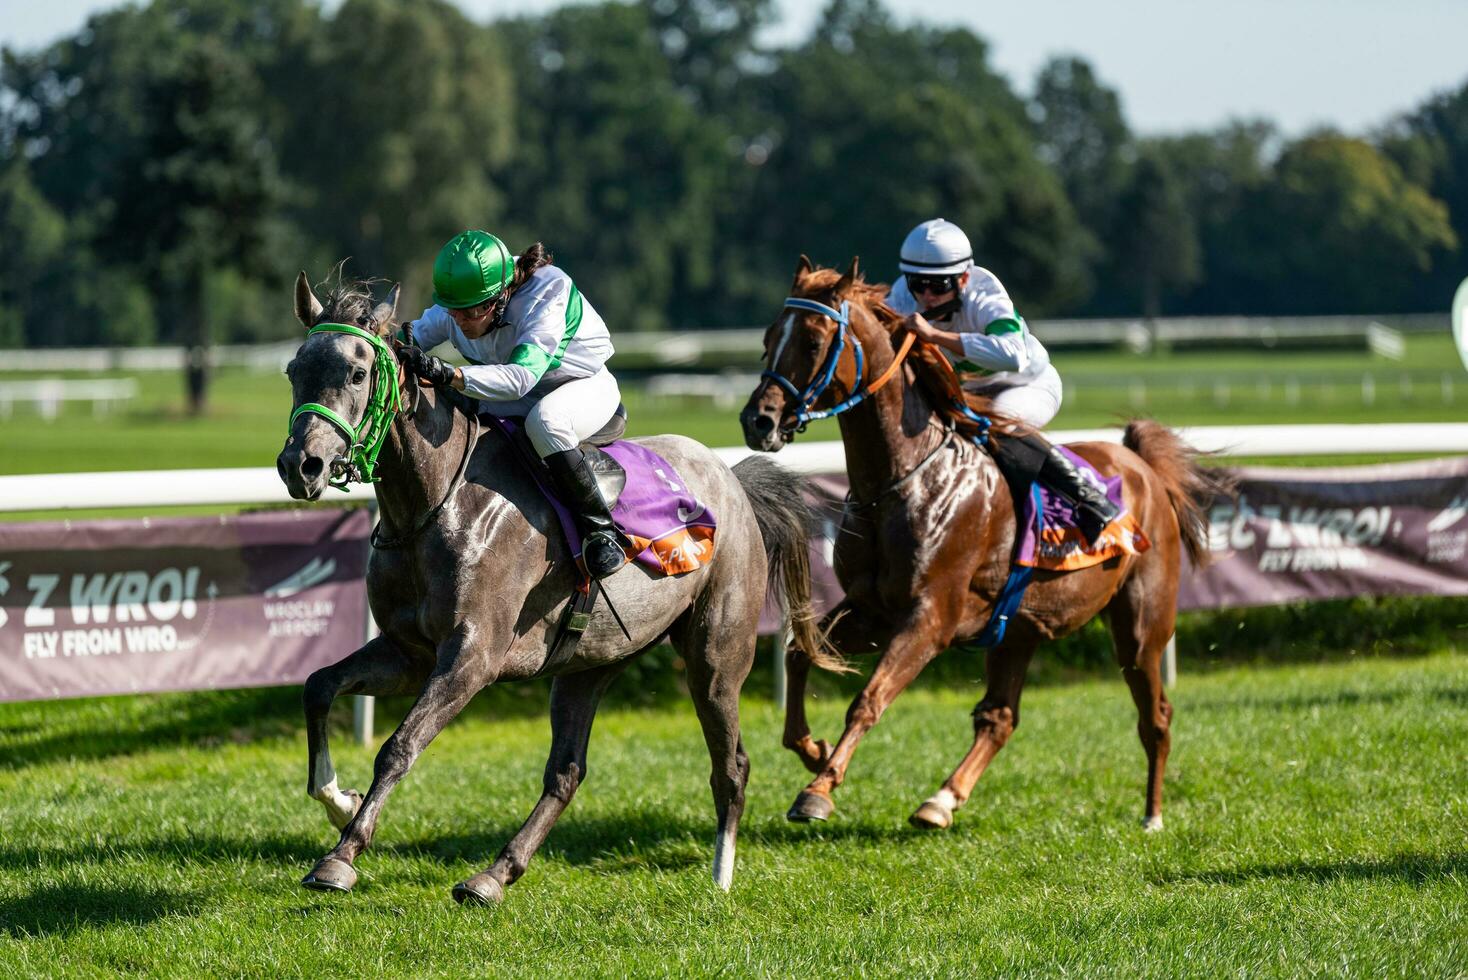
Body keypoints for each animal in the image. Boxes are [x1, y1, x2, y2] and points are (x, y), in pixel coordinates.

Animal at [275, 274, 827, 903]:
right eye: (295, 370)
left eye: (357, 373)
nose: (300, 466)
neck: (434, 505)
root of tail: (731, 478)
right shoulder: (407, 652)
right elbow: (318, 686)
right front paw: (338, 802)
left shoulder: (471, 657)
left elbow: (398, 746)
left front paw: (340, 857)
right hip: (589, 663)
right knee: (566, 771)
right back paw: (493, 875)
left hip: (716, 655)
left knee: (731, 764)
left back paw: (721, 873)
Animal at [734, 256, 1227, 833]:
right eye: (769, 338)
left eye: (813, 341)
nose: (758, 420)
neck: (902, 480)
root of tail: (1140, 463)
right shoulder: (871, 608)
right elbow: (798, 653)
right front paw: (813, 750)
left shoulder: (931, 617)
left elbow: (868, 699)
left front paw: (818, 789)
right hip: (1020, 628)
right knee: (999, 717)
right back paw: (941, 801)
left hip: (1141, 622)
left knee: (1156, 716)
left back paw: (1152, 815)